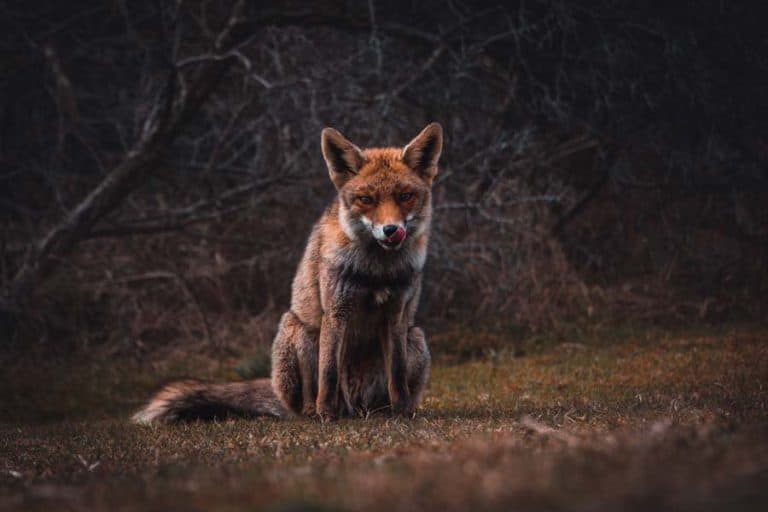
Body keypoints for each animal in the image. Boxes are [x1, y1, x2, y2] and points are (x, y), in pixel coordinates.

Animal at [132, 123, 443, 423]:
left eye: (405, 196)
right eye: (366, 199)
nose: (391, 230)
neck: (377, 272)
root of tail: (358, 408)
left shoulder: (396, 314)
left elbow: (397, 375)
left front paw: (403, 414)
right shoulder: (337, 310)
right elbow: (329, 373)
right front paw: (326, 416)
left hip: (416, 338)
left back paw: (385, 412)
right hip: (299, 331)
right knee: (310, 396)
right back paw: (316, 413)